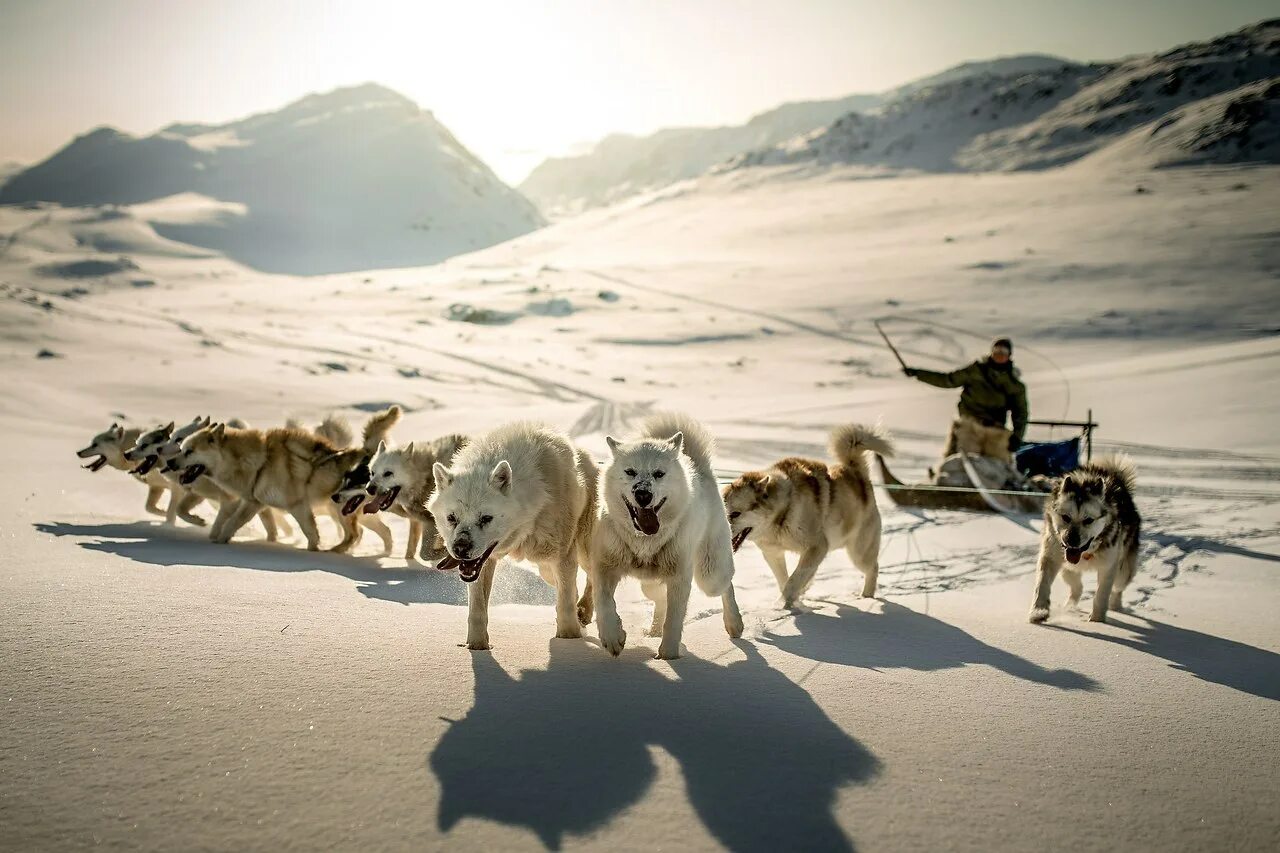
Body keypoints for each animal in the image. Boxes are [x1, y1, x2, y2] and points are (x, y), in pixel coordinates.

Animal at [424, 422, 593, 648]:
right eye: (452, 518)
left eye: (486, 518)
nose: (460, 548)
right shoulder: (480, 565)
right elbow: (477, 610)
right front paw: (477, 647)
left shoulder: (563, 557)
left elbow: (565, 608)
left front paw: (570, 641)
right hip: (545, 570)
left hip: (577, 555)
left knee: (591, 581)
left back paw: (585, 612)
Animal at [586, 412, 742, 655]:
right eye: (630, 472)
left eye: (659, 474)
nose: (643, 494)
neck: (644, 540)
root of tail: (698, 466)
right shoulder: (604, 568)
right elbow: (603, 604)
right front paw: (613, 637)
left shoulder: (679, 578)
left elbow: (674, 620)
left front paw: (669, 655)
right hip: (648, 584)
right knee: (659, 599)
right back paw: (654, 630)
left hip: (710, 575)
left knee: (727, 585)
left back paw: (734, 622)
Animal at [721, 420, 890, 604]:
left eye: (735, 514)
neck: (782, 513)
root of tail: (857, 473)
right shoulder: (773, 554)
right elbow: (785, 579)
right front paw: (791, 600)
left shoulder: (818, 546)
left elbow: (794, 579)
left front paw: (782, 605)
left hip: (859, 552)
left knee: (873, 568)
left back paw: (867, 597)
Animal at [1029, 455, 1141, 622]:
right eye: (1066, 517)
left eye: (1088, 520)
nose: (1071, 540)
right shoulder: (1050, 556)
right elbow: (1042, 585)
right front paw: (1039, 611)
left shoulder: (1108, 566)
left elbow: (1101, 594)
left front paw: (1097, 620)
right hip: (1067, 569)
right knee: (1077, 587)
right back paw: (1069, 606)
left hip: (1122, 572)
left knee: (1117, 589)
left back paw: (1115, 606)